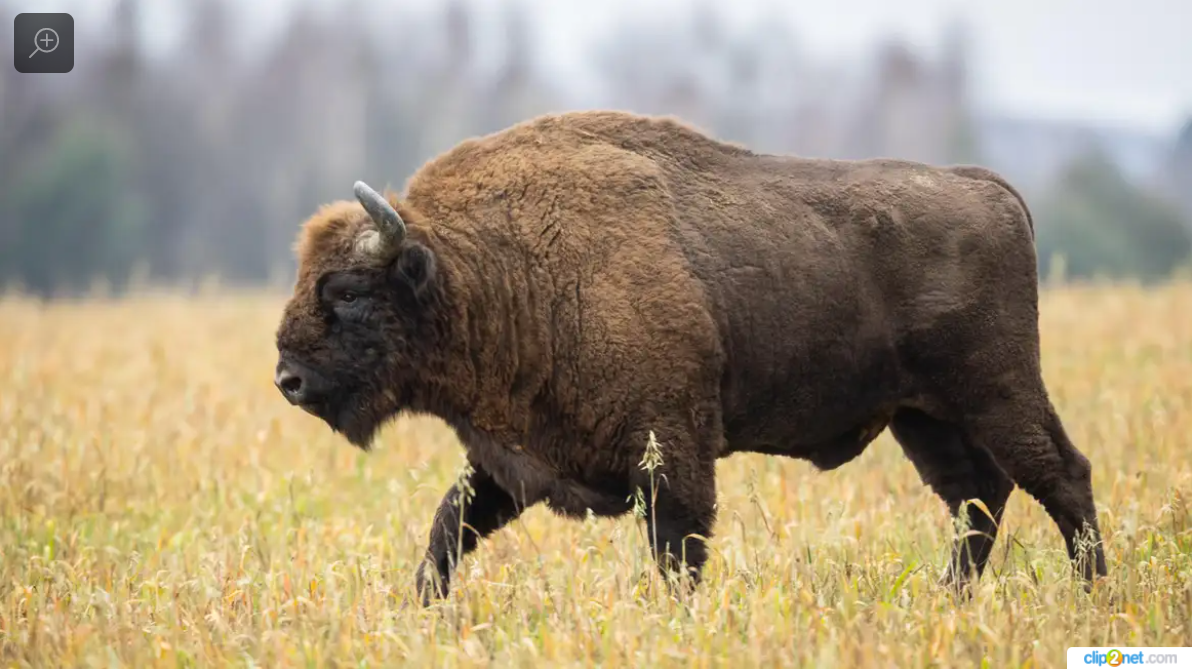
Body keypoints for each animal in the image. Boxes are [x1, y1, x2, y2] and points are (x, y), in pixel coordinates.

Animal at [274, 108, 1110, 601]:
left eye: (346, 289)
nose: (288, 376)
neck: (485, 267)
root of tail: (988, 187)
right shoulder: (511, 461)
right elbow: (450, 526)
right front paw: (423, 608)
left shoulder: (672, 453)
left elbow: (680, 549)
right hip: (923, 415)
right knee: (979, 496)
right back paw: (950, 597)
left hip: (996, 391)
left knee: (1059, 475)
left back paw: (1094, 593)